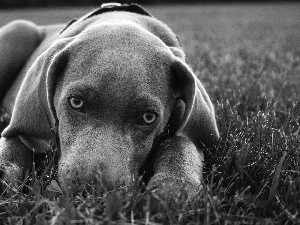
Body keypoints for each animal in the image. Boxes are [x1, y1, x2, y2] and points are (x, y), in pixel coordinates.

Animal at [0, 3, 220, 197]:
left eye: (148, 117)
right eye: (76, 102)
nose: (92, 189)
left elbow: (183, 142)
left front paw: (175, 185)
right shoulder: (27, 126)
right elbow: (15, 139)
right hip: (18, 28)